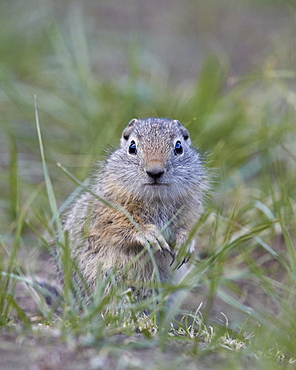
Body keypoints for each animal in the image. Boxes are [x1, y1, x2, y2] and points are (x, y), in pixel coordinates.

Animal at [58, 118, 206, 304]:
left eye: (179, 147)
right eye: (132, 147)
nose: (155, 171)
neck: (156, 199)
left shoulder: (189, 210)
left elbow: (189, 226)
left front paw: (185, 243)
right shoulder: (107, 210)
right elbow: (119, 224)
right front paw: (150, 235)